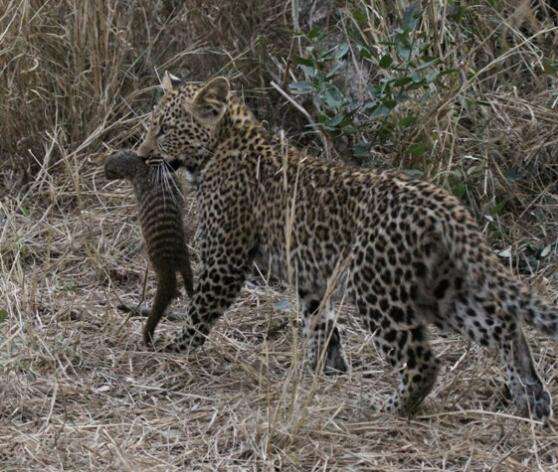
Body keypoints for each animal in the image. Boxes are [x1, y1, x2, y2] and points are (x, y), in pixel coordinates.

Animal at [136, 72, 558, 422]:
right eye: (152, 126)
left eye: (165, 129)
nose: (140, 155)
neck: (219, 147)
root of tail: (442, 202)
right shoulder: (309, 275)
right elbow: (319, 322)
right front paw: (324, 370)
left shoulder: (226, 259)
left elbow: (200, 310)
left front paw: (175, 350)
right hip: (441, 290)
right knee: (503, 324)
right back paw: (531, 398)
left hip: (377, 288)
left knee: (422, 360)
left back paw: (389, 408)